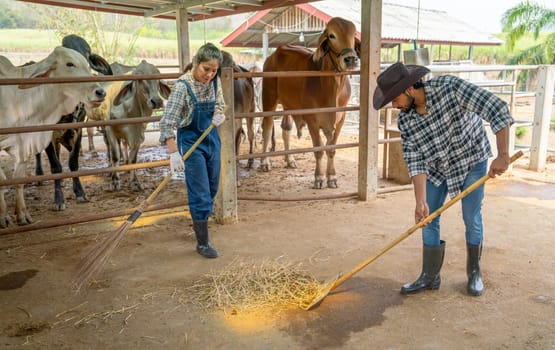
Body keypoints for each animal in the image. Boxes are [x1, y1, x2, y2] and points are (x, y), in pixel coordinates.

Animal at [0, 46, 106, 227]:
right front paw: (3, 217)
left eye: (88, 64)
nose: (100, 92)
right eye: (69, 64)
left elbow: (19, 179)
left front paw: (22, 214)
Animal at [262, 16, 360, 189]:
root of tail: (273, 56)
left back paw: (290, 160)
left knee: (286, 128)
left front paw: (332, 177)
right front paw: (319, 178)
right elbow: (319, 149)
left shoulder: (340, 119)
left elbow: (331, 149)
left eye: (353, 34)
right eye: (332, 35)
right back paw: (265, 162)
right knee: (266, 128)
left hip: (289, 105)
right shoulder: (312, 119)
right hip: (269, 100)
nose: (351, 59)